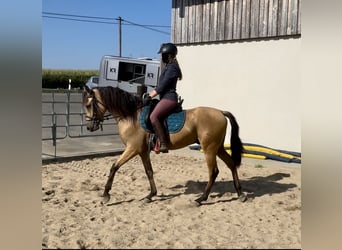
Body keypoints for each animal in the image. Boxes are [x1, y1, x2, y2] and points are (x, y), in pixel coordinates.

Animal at [83, 86, 248, 205]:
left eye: (89, 105)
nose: (89, 127)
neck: (132, 116)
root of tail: (220, 112)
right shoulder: (143, 151)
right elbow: (149, 171)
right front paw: (150, 195)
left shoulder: (133, 148)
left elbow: (114, 167)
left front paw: (105, 195)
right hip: (217, 148)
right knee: (231, 164)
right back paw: (240, 194)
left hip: (209, 149)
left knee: (213, 172)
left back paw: (201, 199)